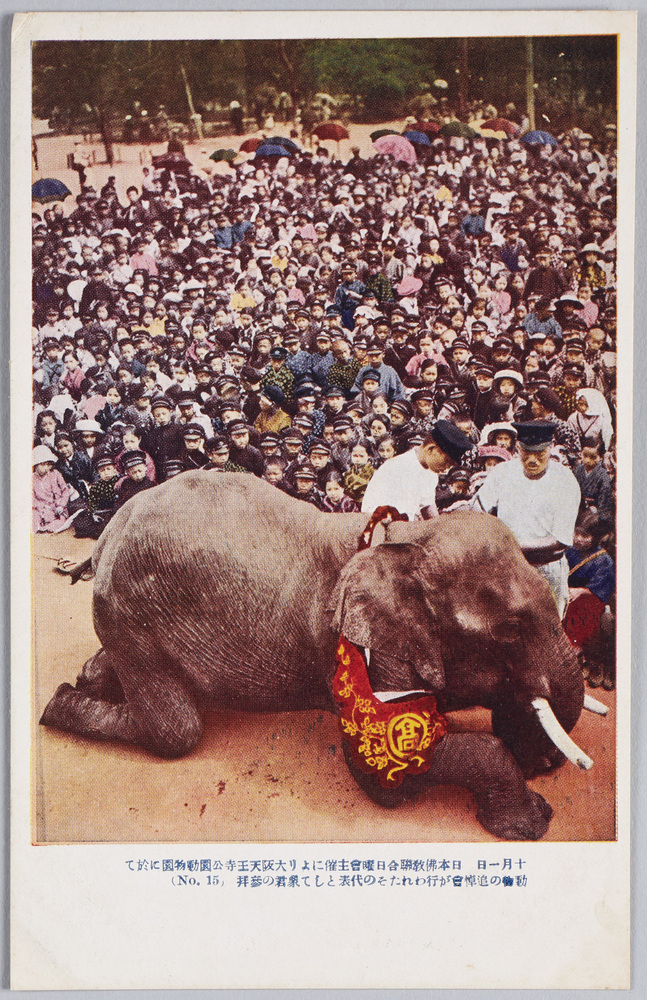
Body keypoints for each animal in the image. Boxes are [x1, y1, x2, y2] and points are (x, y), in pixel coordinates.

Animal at [40, 472, 596, 840]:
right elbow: (389, 772)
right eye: (509, 631)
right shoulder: (361, 651)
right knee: (177, 732)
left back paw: (86, 678)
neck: (402, 543)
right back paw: (59, 703)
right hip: (133, 605)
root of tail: (111, 527)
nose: (545, 762)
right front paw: (531, 821)